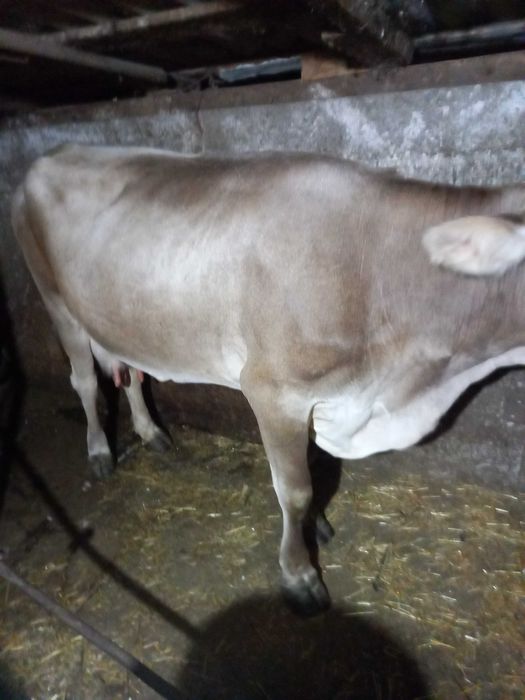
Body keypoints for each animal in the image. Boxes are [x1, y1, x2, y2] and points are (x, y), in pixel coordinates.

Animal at [12, 144, 525, 615]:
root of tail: (55, 154)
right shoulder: (272, 390)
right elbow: (294, 490)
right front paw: (300, 576)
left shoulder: (321, 398)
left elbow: (315, 469)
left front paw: (319, 524)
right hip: (56, 301)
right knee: (83, 381)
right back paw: (100, 451)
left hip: (122, 318)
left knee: (134, 372)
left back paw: (150, 431)